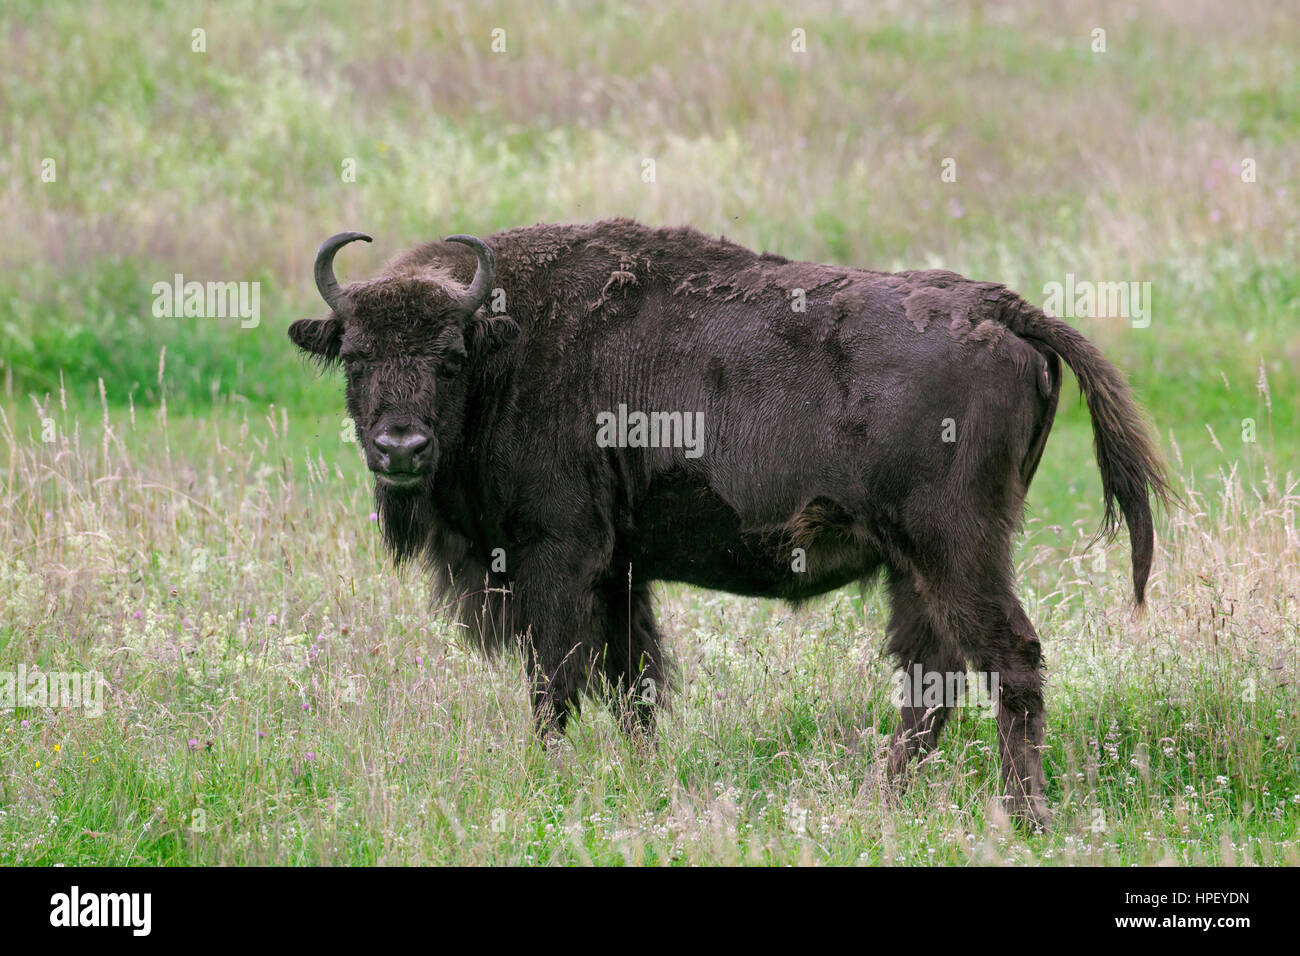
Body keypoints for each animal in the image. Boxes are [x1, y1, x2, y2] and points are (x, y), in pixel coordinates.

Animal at [292, 214, 1170, 822]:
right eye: (357, 358)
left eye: (449, 357)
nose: (400, 446)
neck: (507, 345)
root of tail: (998, 306)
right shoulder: (621, 572)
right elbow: (632, 682)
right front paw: (640, 777)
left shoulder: (557, 559)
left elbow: (557, 681)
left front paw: (551, 776)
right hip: (917, 567)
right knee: (933, 679)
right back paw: (877, 803)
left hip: (954, 550)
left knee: (1008, 660)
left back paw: (1021, 816)